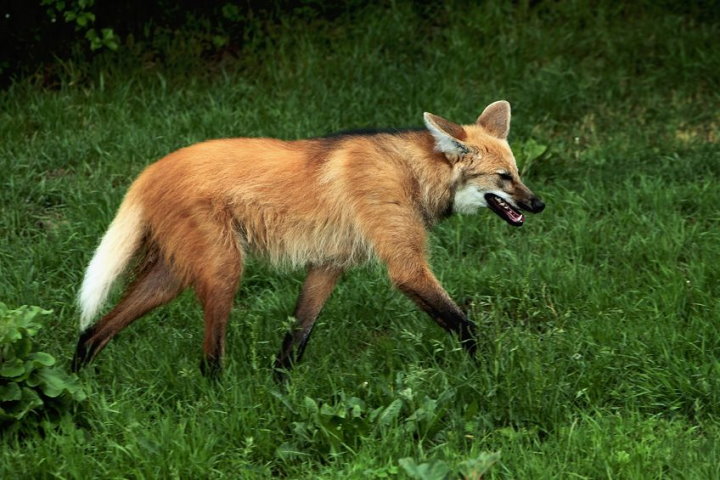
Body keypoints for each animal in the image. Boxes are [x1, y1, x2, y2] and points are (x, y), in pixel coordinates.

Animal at [74, 101, 544, 378]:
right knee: (209, 359)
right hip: (224, 270)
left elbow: (296, 338)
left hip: (173, 274)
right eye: (503, 177)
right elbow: (465, 325)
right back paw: (218, 400)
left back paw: (75, 385)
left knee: (94, 330)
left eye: (518, 173)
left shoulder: (328, 265)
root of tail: (150, 170)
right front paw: (491, 372)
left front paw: (279, 389)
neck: (411, 174)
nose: (538, 204)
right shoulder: (405, 267)